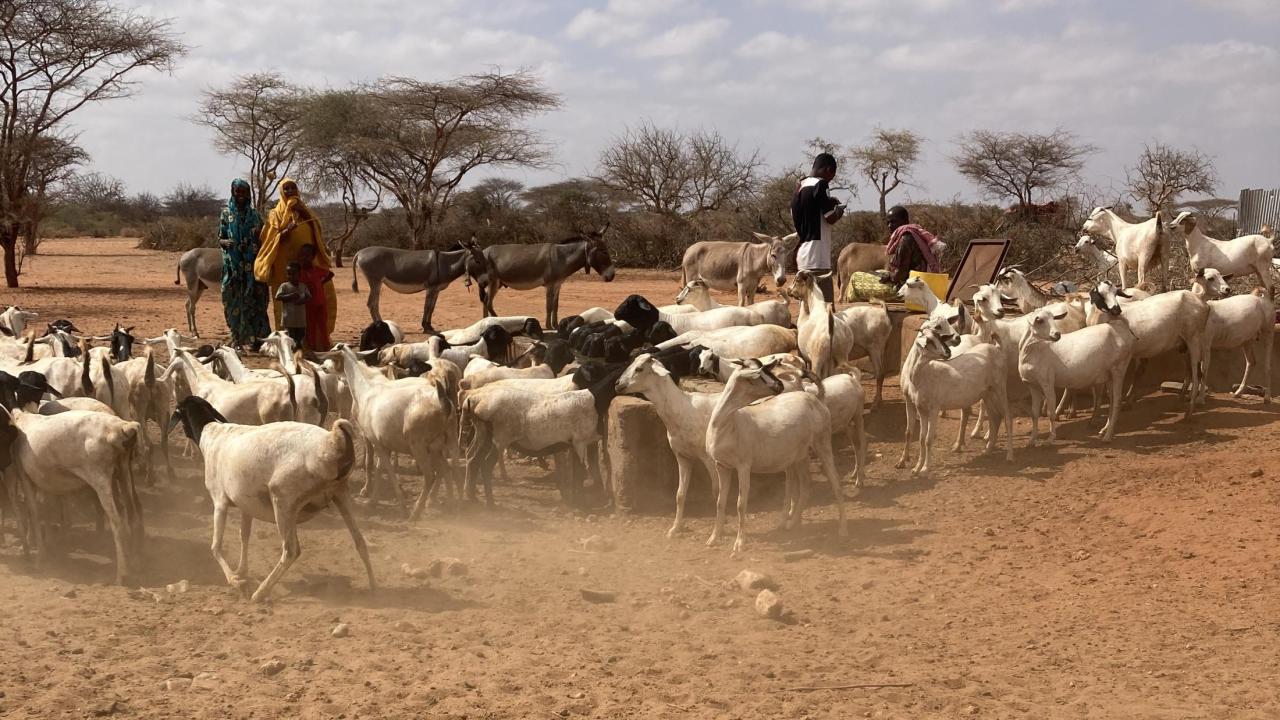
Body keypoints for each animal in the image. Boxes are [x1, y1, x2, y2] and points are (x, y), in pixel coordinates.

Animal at [168, 392, 373, 599]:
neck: (211, 433)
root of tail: (333, 441)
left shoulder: (220, 501)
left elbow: (216, 546)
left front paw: (235, 581)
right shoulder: (246, 504)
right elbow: (244, 536)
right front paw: (241, 571)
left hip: (283, 499)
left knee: (291, 551)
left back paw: (260, 593)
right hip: (340, 494)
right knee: (360, 541)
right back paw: (373, 586)